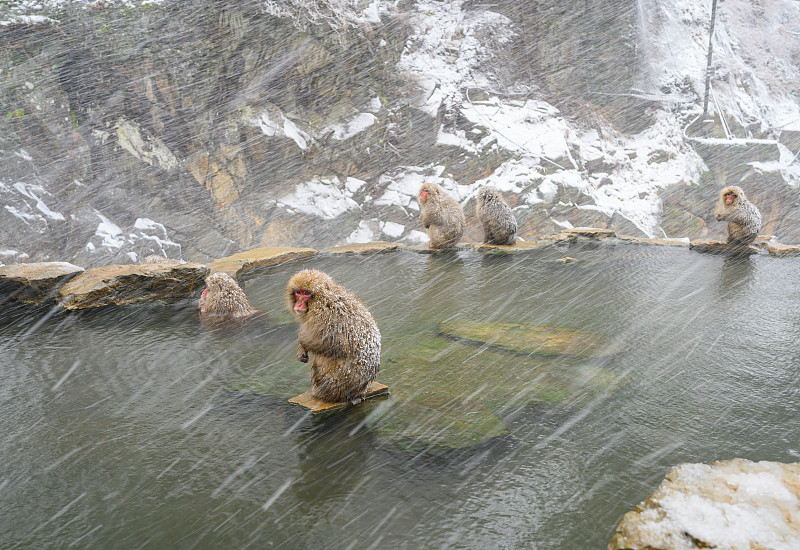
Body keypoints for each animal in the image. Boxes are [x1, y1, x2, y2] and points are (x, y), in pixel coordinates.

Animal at [287, 269, 381, 403]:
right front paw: (301, 349)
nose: (298, 304)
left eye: (306, 293)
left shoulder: (325, 314)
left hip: (334, 385)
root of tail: (358, 392)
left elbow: (335, 344)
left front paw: (302, 341)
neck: (323, 297)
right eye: (298, 292)